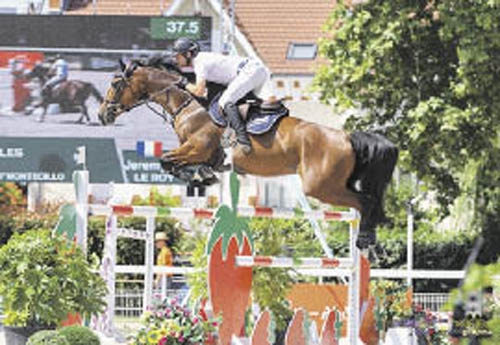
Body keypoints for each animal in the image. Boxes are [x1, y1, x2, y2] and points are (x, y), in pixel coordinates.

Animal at [97, 59, 398, 247]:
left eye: (116, 84)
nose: (102, 115)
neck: (190, 104)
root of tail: (347, 137)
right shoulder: (198, 152)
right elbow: (172, 163)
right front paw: (202, 176)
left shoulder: (197, 148)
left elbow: (167, 161)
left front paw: (201, 177)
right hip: (333, 184)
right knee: (367, 201)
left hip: (321, 186)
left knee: (366, 201)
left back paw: (366, 240)